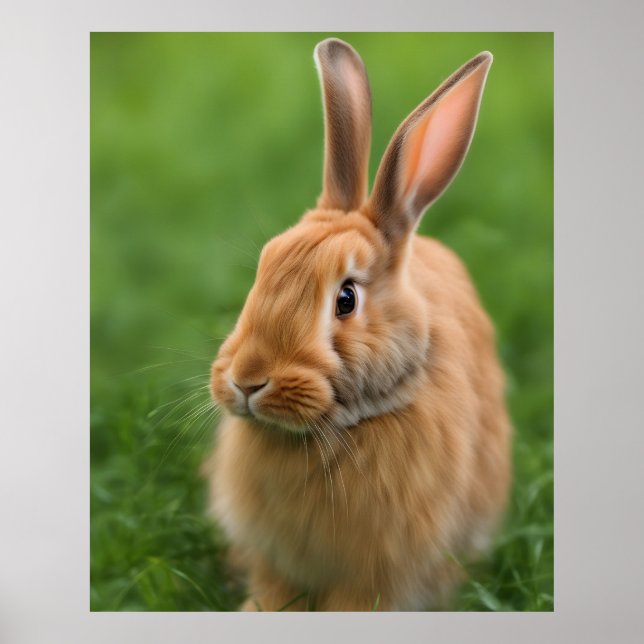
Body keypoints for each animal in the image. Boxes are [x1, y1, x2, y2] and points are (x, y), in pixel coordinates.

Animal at [205, 37, 511, 611]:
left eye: (346, 299)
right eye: (264, 266)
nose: (248, 381)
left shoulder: (382, 571)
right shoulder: (273, 557)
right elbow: (273, 588)